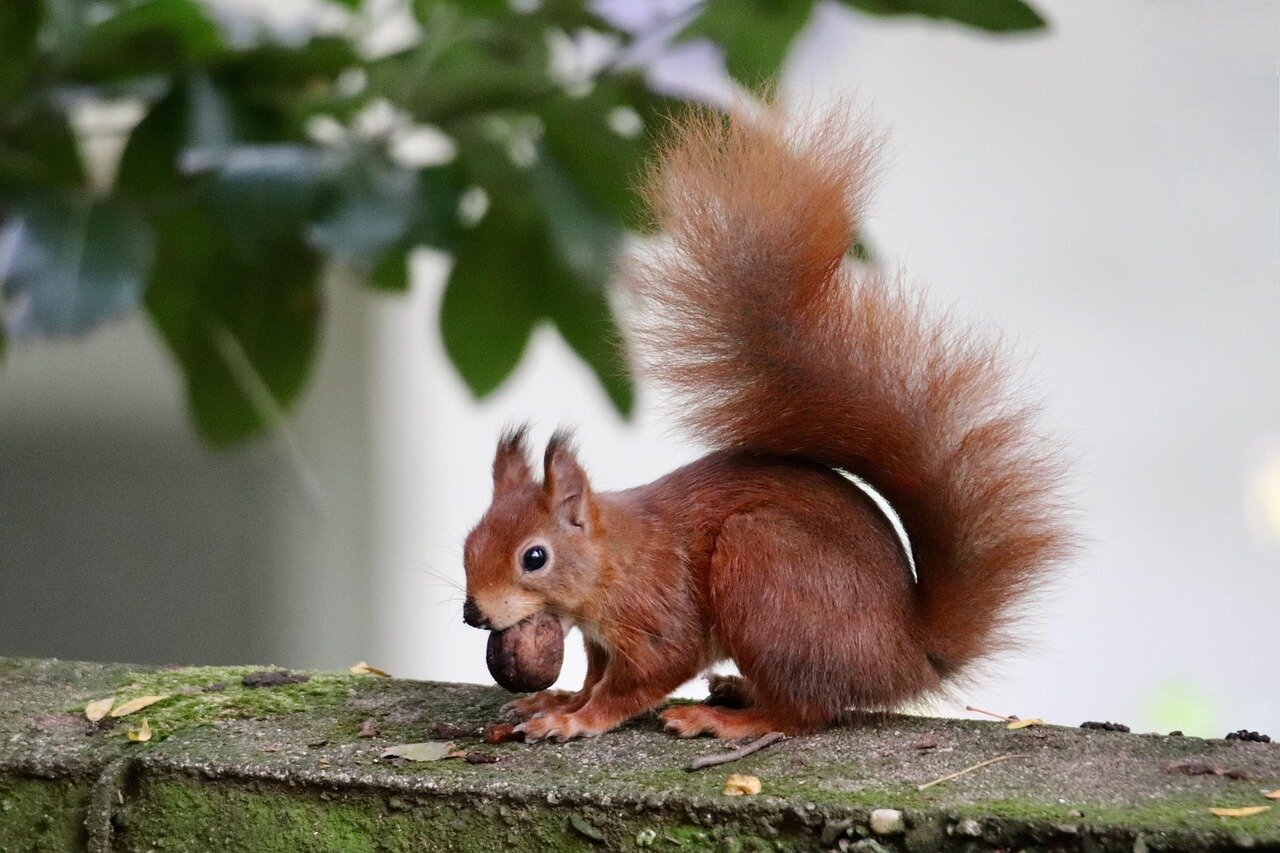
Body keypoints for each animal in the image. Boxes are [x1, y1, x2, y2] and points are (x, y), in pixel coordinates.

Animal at [461, 105, 1071, 742]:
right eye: (469, 541)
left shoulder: (659, 614)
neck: (614, 560)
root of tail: (905, 655)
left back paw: (723, 720)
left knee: (802, 712)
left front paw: (577, 720)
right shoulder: (601, 639)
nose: (474, 613)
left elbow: (640, 678)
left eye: (534, 557)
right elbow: (594, 674)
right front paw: (556, 700)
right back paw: (734, 690)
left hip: (763, 566)